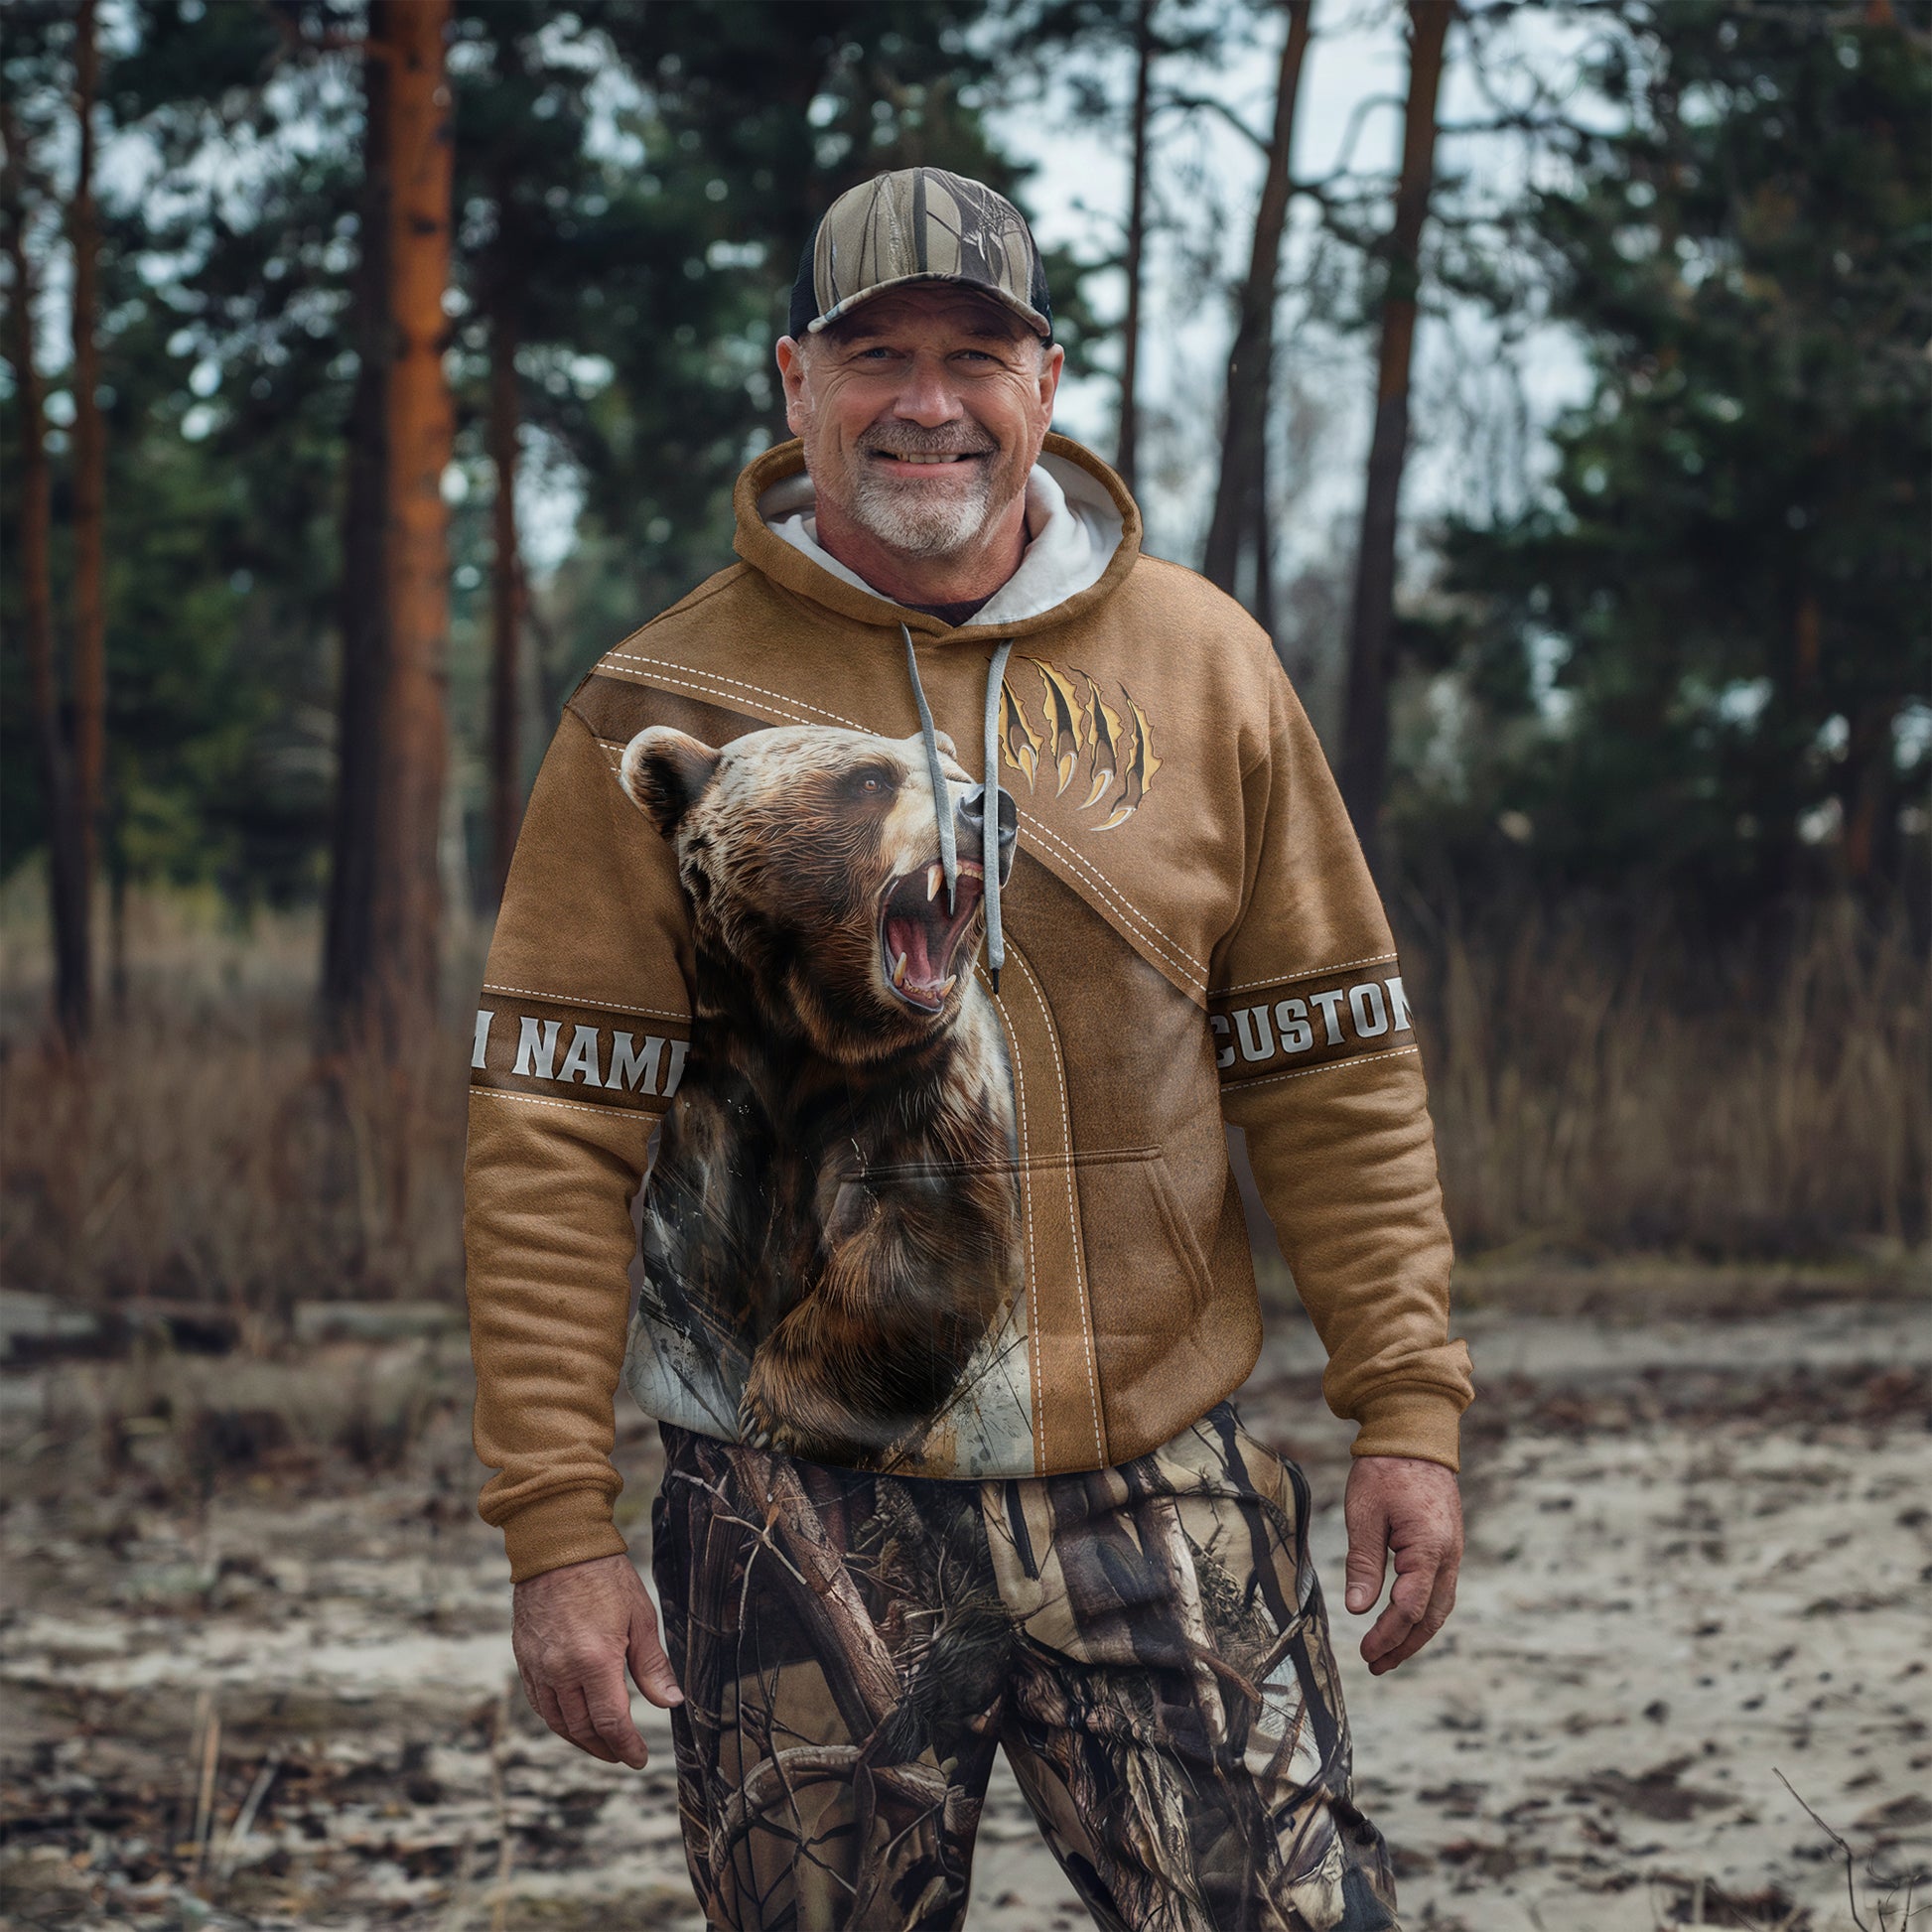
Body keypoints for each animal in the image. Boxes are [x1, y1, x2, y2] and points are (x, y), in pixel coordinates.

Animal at [621, 726, 1028, 1460]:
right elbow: (701, 1233)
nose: (992, 807)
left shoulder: (922, 1091)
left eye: (958, 773)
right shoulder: (720, 1085)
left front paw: (778, 1410)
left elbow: (925, 1243)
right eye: (870, 780)